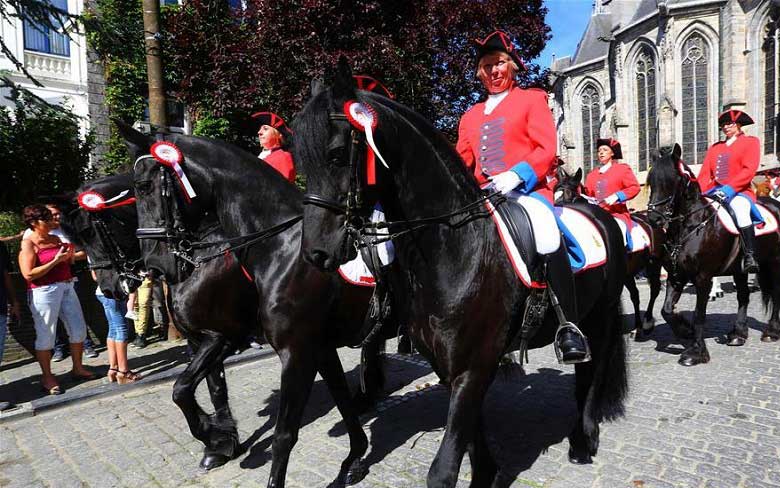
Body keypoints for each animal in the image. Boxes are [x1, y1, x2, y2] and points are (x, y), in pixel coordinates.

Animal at [58, 171, 258, 468]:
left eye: (88, 232)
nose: (108, 289)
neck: (198, 258)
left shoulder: (220, 338)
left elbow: (181, 389)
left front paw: (210, 433)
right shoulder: (201, 339)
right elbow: (215, 388)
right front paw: (223, 443)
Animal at [122, 123, 396, 488]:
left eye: (145, 186)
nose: (155, 266)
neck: (282, 249)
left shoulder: (280, 349)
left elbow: (283, 432)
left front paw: (217, 437)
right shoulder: (314, 347)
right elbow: (341, 401)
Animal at [292, 59, 628, 486]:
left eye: (336, 154)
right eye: (300, 160)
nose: (316, 253)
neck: (454, 251)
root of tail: (598, 211)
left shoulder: (475, 362)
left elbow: (445, 466)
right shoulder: (451, 366)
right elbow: (469, 433)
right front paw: (488, 472)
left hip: (599, 318)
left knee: (592, 373)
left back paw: (584, 439)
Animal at [556, 168, 664, 340]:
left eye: (568, 194)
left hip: (653, 263)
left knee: (654, 289)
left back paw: (647, 323)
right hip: (628, 273)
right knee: (635, 295)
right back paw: (637, 328)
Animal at [644, 143, 780, 364]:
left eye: (672, 180)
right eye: (651, 181)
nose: (654, 219)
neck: (692, 225)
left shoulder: (703, 278)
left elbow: (699, 314)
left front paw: (697, 352)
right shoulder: (676, 275)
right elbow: (667, 310)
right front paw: (684, 330)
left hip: (774, 263)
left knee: (775, 293)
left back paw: (772, 331)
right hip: (740, 270)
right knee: (743, 296)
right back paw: (738, 334)